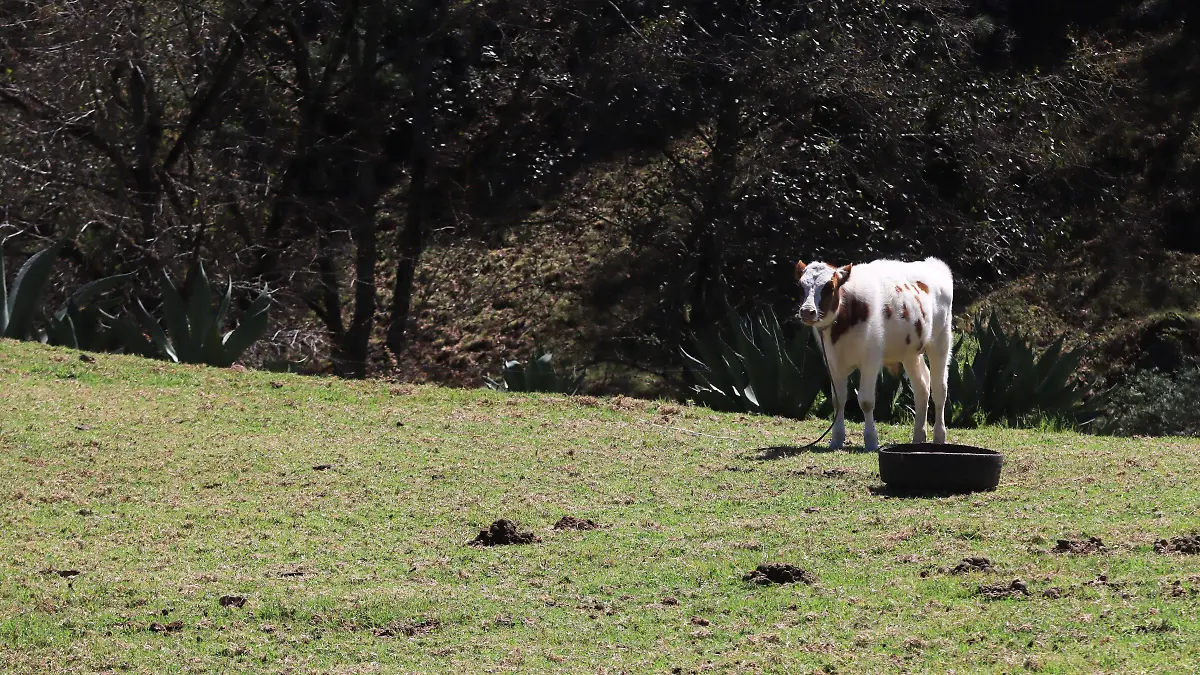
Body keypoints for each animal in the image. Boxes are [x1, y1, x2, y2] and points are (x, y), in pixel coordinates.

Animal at [794, 257, 954, 451]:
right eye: (801, 285)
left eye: (829, 287)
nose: (807, 311)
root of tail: (933, 264)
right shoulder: (833, 362)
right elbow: (838, 400)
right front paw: (836, 440)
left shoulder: (870, 361)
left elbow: (866, 401)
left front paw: (871, 441)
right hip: (910, 353)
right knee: (922, 386)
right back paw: (918, 437)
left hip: (940, 342)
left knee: (939, 389)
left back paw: (939, 436)